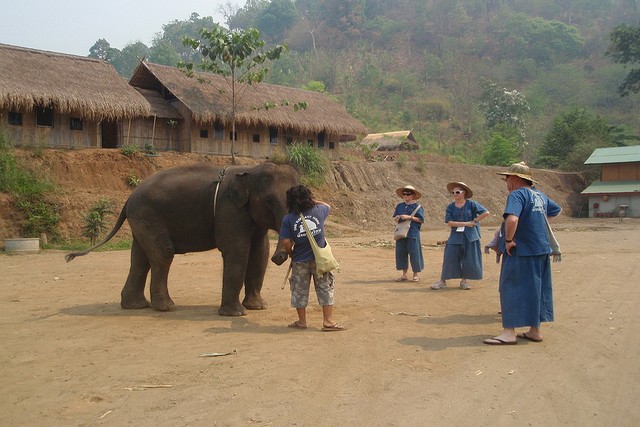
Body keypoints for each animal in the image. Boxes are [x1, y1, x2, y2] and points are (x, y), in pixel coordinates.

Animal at [66, 162, 302, 316]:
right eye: (269, 201)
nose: (279, 258)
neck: (250, 170)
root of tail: (129, 197)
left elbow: (259, 252)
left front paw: (258, 307)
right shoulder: (228, 210)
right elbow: (237, 251)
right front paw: (236, 314)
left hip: (141, 219)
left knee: (140, 259)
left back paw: (136, 306)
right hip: (148, 216)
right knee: (162, 254)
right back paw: (166, 307)